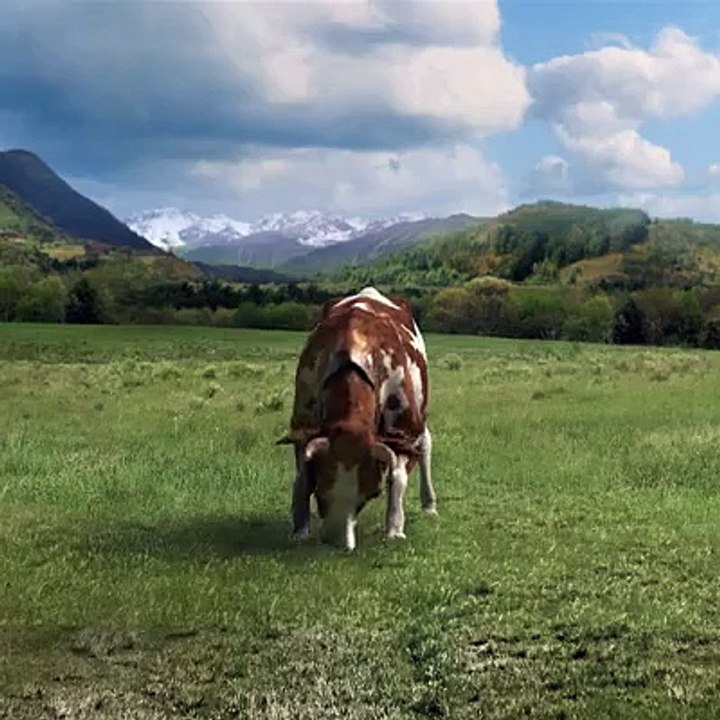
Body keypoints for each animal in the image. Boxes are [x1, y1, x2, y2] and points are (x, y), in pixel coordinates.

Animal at [277, 286, 436, 551]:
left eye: (370, 494)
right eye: (320, 491)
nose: (336, 542)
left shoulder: (404, 429)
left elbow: (398, 478)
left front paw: (395, 529)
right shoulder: (303, 425)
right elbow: (301, 479)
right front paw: (299, 529)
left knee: (425, 444)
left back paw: (429, 504)